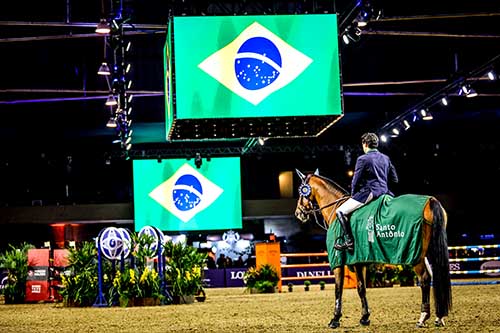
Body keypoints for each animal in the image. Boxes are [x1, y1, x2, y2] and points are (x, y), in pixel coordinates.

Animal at [294, 169, 452, 326]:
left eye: (301, 191)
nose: (298, 213)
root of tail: (430, 200)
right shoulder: (359, 261)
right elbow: (361, 288)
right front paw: (365, 317)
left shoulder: (338, 260)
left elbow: (338, 289)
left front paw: (335, 319)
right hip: (429, 253)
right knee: (436, 277)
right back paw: (439, 317)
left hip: (416, 256)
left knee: (425, 279)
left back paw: (423, 317)